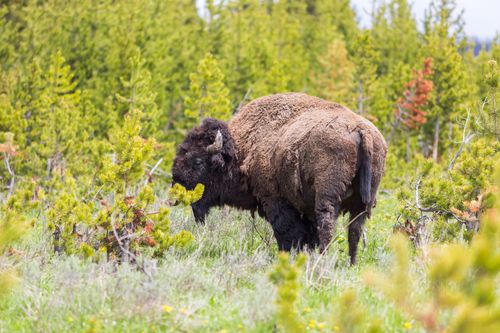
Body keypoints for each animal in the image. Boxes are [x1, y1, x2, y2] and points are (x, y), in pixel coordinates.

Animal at [172, 92, 386, 264]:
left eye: (197, 161)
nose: (176, 184)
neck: (242, 148)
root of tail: (361, 131)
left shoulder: (274, 200)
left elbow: (286, 232)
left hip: (327, 197)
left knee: (327, 226)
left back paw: (323, 260)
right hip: (363, 203)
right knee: (355, 231)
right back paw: (351, 263)